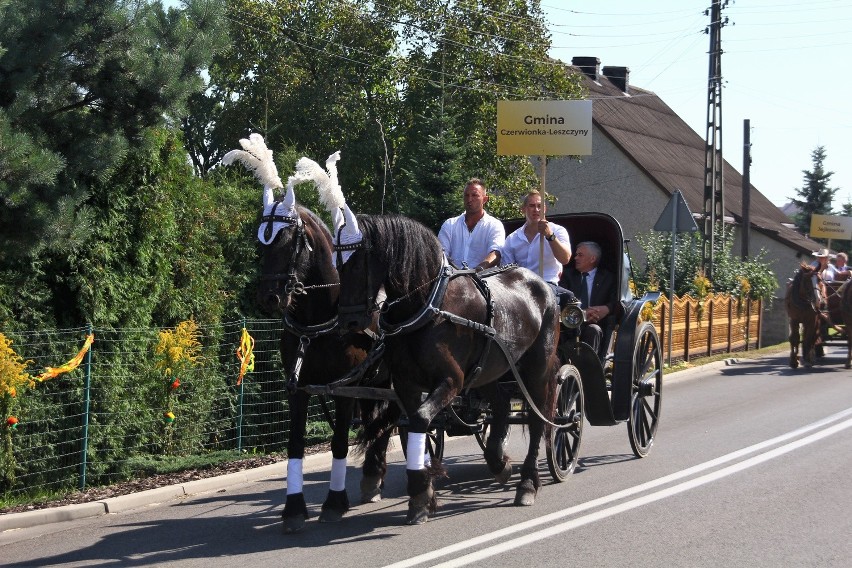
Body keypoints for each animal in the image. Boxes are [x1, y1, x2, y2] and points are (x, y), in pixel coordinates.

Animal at [220, 136, 396, 532]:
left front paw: (334, 502)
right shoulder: (298, 387)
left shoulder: (346, 388)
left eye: (288, 242)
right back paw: (373, 477)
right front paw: (294, 508)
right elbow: (296, 444)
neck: (317, 323)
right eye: (261, 243)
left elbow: (339, 443)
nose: (269, 297)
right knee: (378, 424)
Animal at [332, 212, 560, 524]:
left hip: (537, 370)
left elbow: (419, 419)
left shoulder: (451, 381)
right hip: (490, 369)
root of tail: (541, 285)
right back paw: (498, 463)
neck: (429, 304)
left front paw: (419, 493)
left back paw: (527, 483)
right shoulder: (406, 385)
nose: (349, 322)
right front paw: (423, 493)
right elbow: (416, 425)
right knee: (501, 406)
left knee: (538, 421)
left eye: (357, 262)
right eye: (337, 263)